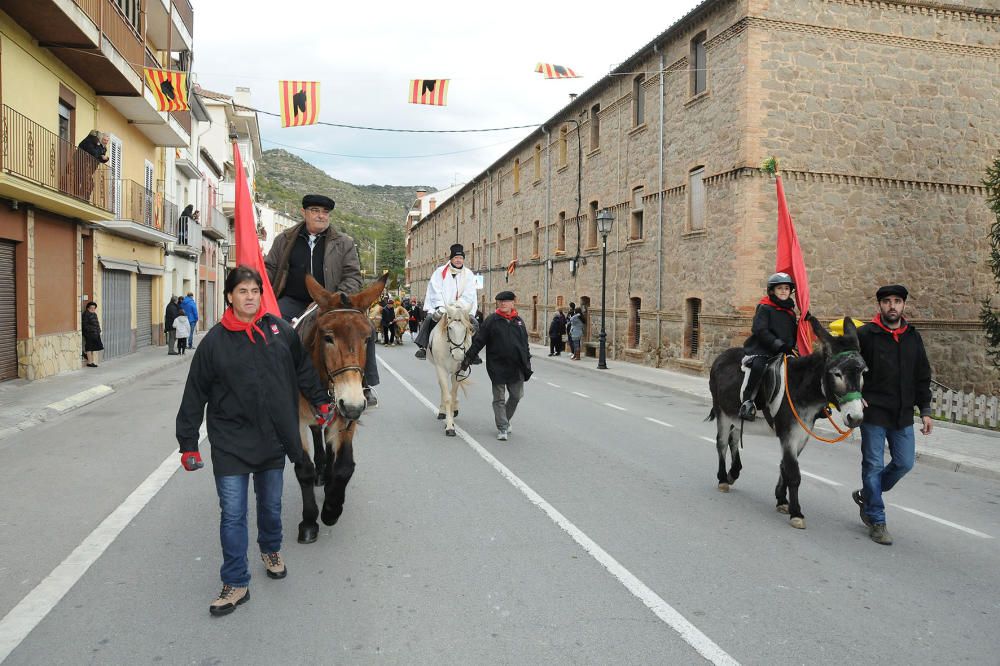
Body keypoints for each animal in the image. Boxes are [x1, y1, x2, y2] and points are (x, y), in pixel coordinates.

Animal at [428, 300, 474, 436]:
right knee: (442, 388)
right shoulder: (441, 369)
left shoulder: (459, 371)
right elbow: (448, 397)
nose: (458, 355)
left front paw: (452, 418)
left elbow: (453, 395)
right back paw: (442, 411)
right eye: (450, 327)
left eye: (466, 328)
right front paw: (449, 426)